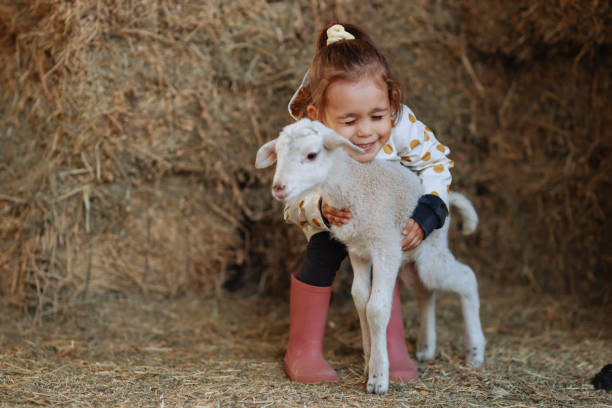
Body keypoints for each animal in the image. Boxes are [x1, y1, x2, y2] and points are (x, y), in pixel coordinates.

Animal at [256, 119, 486, 394]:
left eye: (311, 155)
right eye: (278, 154)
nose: (279, 188)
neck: (354, 186)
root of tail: (447, 200)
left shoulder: (385, 247)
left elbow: (375, 308)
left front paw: (378, 376)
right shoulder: (358, 251)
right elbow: (360, 299)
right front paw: (368, 361)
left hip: (430, 250)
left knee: (466, 277)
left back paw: (475, 351)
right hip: (408, 261)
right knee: (425, 292)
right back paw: (425, 347)